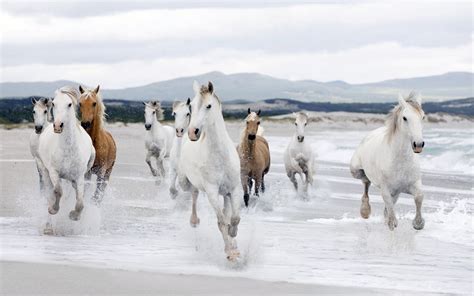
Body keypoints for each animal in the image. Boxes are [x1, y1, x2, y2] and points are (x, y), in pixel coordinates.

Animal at [38, 86, 96, 221]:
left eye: (69, 104)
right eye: (54, 103)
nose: (58, 126)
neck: (68, 149)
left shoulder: (79, 176)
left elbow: (80, 202)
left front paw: (74, 215)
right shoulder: (54, 172)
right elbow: (58, 191)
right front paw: (53, 209)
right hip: (44, 170)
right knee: (49, 191)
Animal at [180, 81, 243, 262]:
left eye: (208, 105)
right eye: (191, 106)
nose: (192, 132)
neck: (220, 155)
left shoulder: (234, 189)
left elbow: (234, 218)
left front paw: (233, 238)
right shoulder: (212, 191)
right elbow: (221, 222)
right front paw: (230, 252)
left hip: (226, 193)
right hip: (185, 182)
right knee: (193, 193)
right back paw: (194, 221)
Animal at [348, 91, 426, 230]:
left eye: (423, 117)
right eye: (405, 118)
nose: (418, 144)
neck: (400, 162)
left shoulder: (413, 184)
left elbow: (419, 197)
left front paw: (418, 223)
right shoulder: (386, 188)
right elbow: (388, 203)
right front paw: (392, 222)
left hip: (397, 193)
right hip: (356, 170)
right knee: (366, 182)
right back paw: (365, 211)